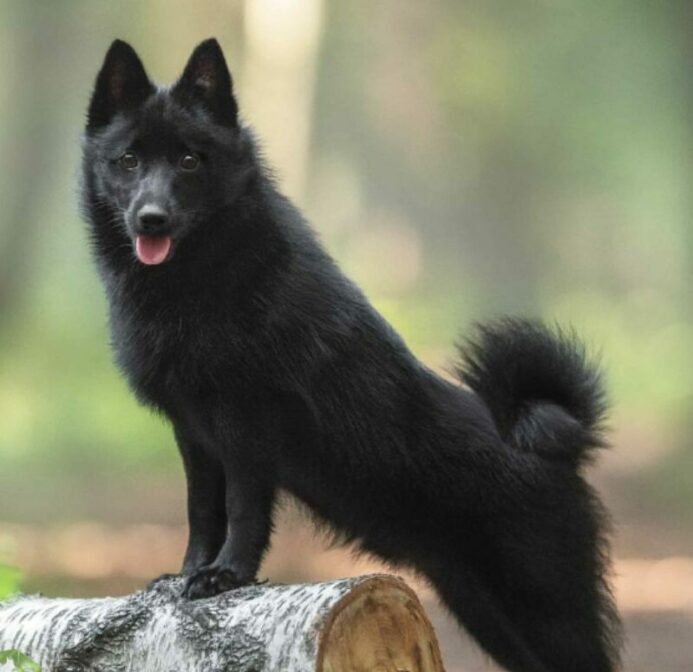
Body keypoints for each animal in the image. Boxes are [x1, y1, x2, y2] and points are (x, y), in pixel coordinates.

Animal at [81, 38, 621, 672]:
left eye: (190, 161)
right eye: (129, 161)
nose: (151, 219)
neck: (203, 280)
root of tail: (554, 446)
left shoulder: (247, 428)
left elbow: (241, 509)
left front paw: (226, 576)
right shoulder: (194, 433)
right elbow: (201, 511)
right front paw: (186, 575)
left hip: (546, 612)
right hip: (488, 613)